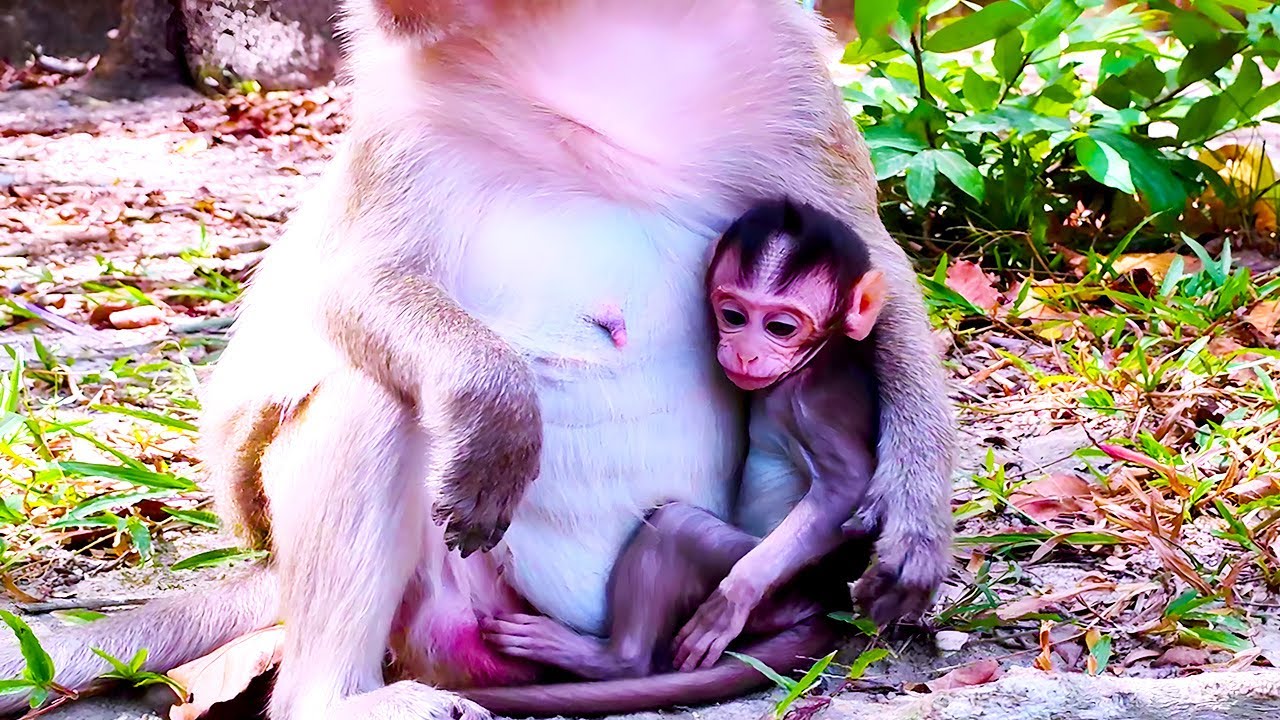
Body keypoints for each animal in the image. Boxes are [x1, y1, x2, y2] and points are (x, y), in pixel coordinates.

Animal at [0, 2, 954, 719]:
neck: (582, 36)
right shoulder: (402, 105)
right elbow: (352, 286)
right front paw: (493, 404)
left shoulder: (781, 64)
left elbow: (877, 265)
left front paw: (915, 517)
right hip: (447, 614)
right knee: (368, 393)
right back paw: (335, 699)